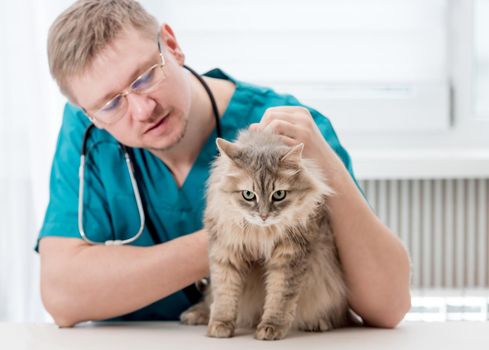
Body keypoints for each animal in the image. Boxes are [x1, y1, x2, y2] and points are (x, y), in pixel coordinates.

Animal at [179, 129, 350, 340]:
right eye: (248, 195)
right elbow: (224, 294)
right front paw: (220, 326)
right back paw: (195, 315)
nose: (264, 216)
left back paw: (317, 323)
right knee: (209, 298)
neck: (261, 231)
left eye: (279, 195)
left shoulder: (290, 256)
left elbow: (280, 297)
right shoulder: (225, 252)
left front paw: (271, 328)